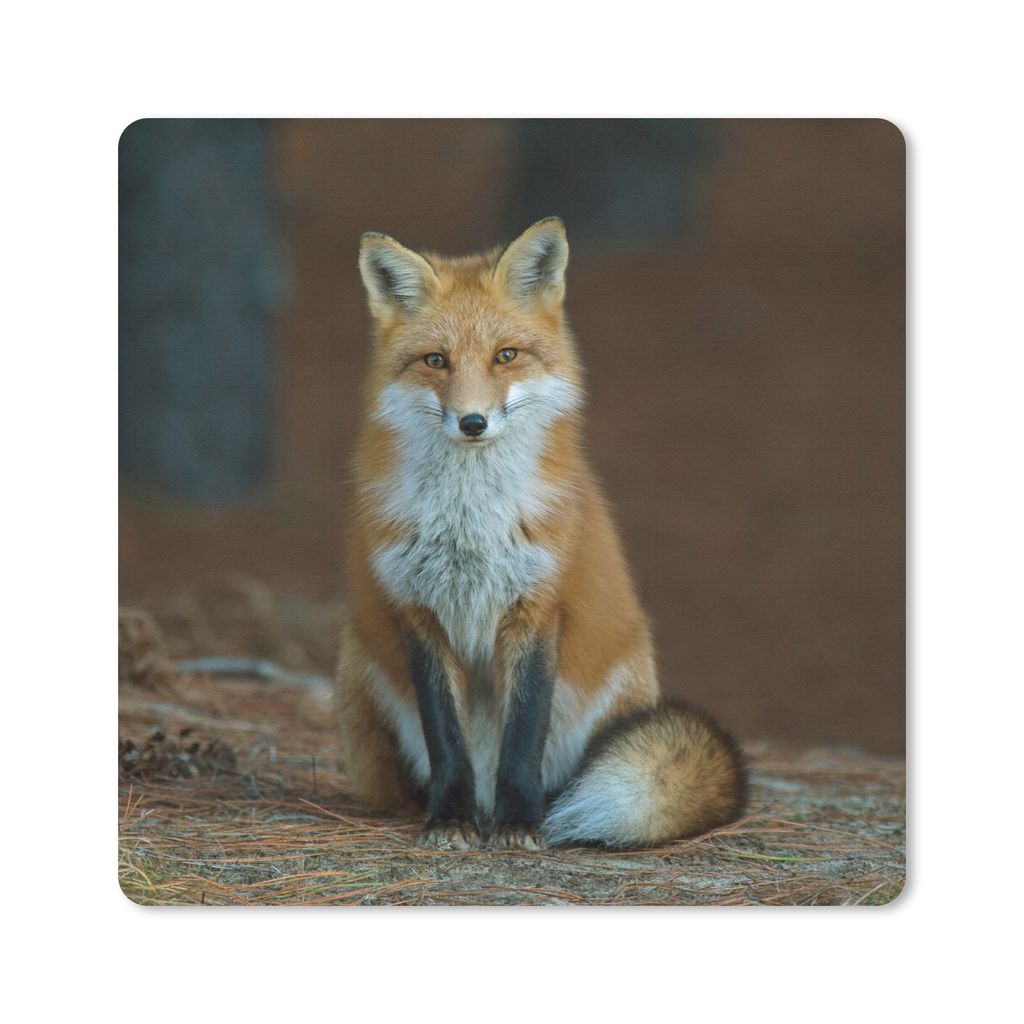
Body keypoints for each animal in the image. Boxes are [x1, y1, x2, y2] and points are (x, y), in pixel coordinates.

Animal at [334, 217, 745, 850]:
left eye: (505, 356)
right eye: (436, 360)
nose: (472, 422)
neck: (470, 524)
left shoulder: (537, 606)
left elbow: (523, 738)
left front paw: (519, 822)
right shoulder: (418, 612)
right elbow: (446, 740)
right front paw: (450, 818)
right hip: (356, 669)